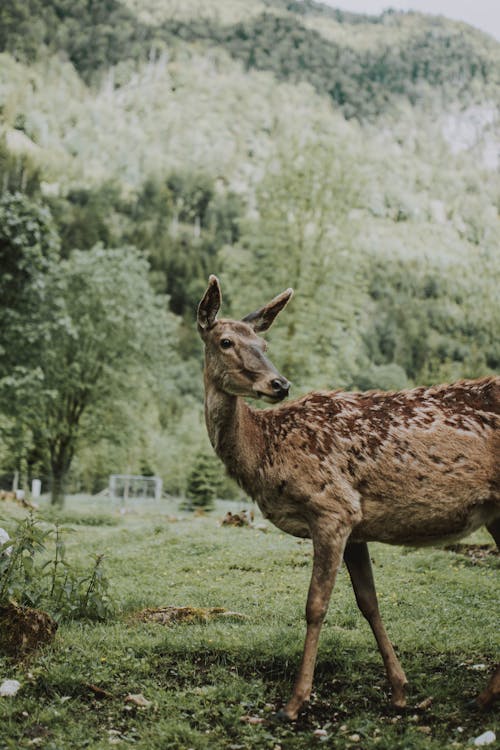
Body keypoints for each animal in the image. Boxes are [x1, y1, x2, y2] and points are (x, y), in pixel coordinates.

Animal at [197, 276, 498, 724]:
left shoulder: (332, 507)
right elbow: (368, 602)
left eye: (264, 344)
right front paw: (400, 690)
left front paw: (294, 702)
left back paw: (482, 697)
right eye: (226, 341)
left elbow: (315, 605)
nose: (280, 384)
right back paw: (482, 697)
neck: (266, 450)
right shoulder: (357, 526)